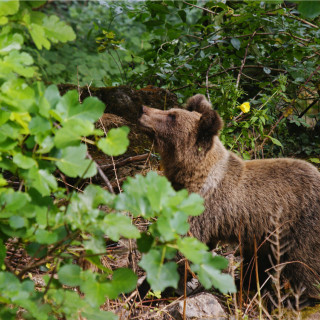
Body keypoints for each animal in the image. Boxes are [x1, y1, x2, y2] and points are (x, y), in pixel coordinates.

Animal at [139, 94, 320, 298]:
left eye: (172, 116)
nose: (143, 109)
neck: (192, 175)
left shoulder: (202, 208)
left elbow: (180, 249)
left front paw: (149, 287)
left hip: (301, 225)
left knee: (304, 264)